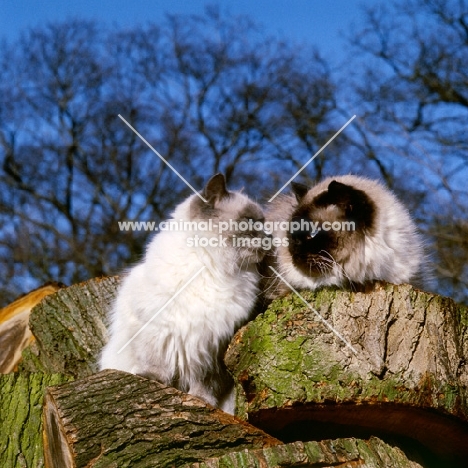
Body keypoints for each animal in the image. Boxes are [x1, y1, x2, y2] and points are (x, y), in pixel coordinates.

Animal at [99, 175, 266, 414]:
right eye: (250, 222)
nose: (269, 237)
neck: (213, 268)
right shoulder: (158, 330)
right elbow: (156, 363)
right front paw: (152, 379)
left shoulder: (214, 348)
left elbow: (206, 383)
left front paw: (201, 400)